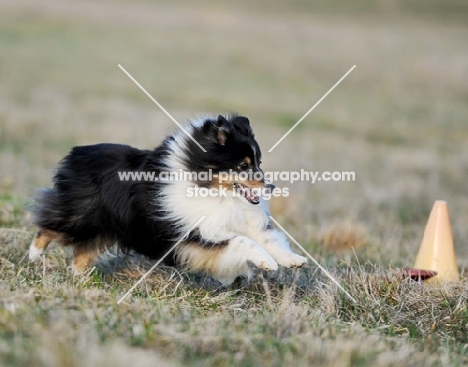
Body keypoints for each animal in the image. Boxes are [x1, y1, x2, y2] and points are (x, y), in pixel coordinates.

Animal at [29, 115, 308, 284]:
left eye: (259, 163)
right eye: (243, 165)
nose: (271, 186)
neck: (214, 191)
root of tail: (77, 152)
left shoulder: (242, 220)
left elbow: (268, 239)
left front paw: (293, 260)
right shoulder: (200, 234)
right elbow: (242, 242)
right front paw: (267, 263)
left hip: (105, 227)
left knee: (81, 254)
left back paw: (81, 281)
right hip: (81, 216)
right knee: (48, 225)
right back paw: (33, 255)